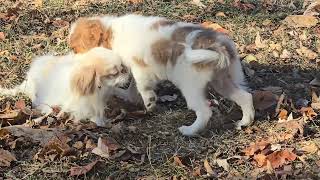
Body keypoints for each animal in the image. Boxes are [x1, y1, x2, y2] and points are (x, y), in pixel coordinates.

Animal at [68, 14, 255, 136]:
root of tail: (218, 45)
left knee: (204, 111)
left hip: (191, 86)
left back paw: (189, 130)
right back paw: (245, 122)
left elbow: (141, 85)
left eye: (76, 49)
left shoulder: (140, 66)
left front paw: (149, 102)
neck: (110, 33)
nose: (76, 62)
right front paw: (128, 95)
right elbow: (133, 88)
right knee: (245, 97)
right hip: (222, 80)